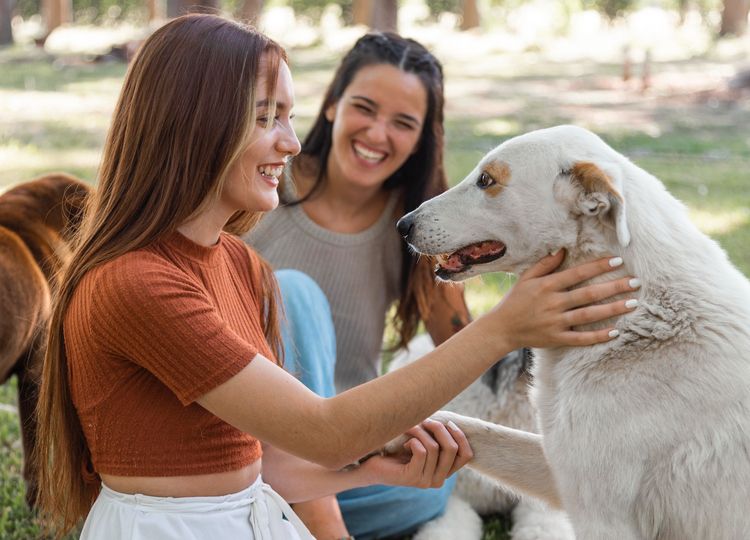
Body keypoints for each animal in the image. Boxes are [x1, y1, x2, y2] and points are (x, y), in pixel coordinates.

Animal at [394, 125, 750, 540]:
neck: (632, 318)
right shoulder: (560, 470)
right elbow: (461, 423)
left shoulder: (600, 515)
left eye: (486, 180)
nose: (402, 226)